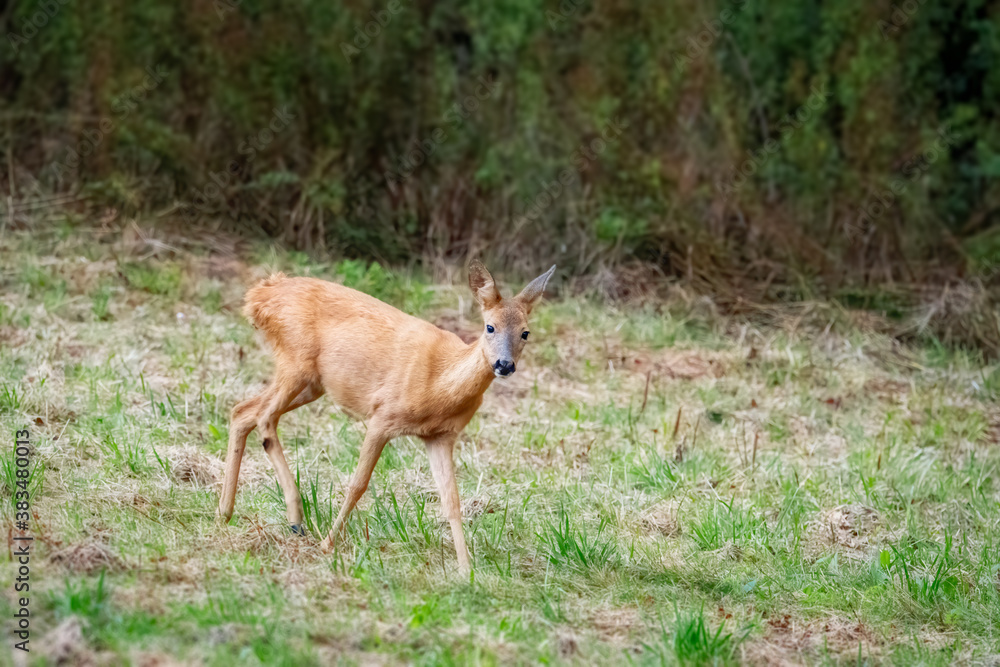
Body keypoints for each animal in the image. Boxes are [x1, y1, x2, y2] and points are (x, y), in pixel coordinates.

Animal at [217, 260, 556, 576]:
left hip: (312, 383)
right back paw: (295, 518)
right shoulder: (382, 417)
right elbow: (358, 483)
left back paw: (225, 512)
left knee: (243, 411)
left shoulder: (440, 436)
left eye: (525, 332)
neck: (438, 383)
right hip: (295, 360)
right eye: (490, 327)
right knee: (264, 419)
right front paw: (328, 544)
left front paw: (466, 570)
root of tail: (259, 295)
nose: (504, 364)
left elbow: (452, 501)